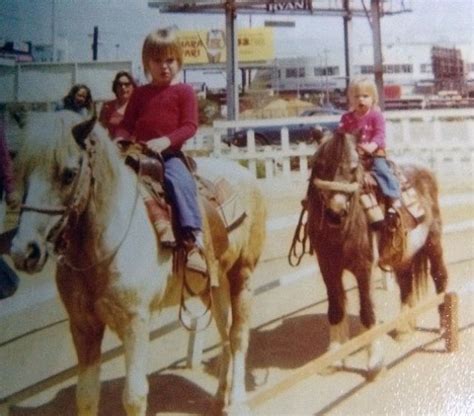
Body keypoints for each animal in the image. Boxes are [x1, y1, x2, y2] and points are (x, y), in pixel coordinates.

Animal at [10, 111, 266, 416]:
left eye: (69, 174)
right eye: (22, 173)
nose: (24, 251)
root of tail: (245, 174)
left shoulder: (135, 323)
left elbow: (134, 396)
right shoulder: (83, 325)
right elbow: (86, 396)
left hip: (243, 277)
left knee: (238, 336)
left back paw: (237, 402)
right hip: (214, 288)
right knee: (224, 333)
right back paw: (218, 398)